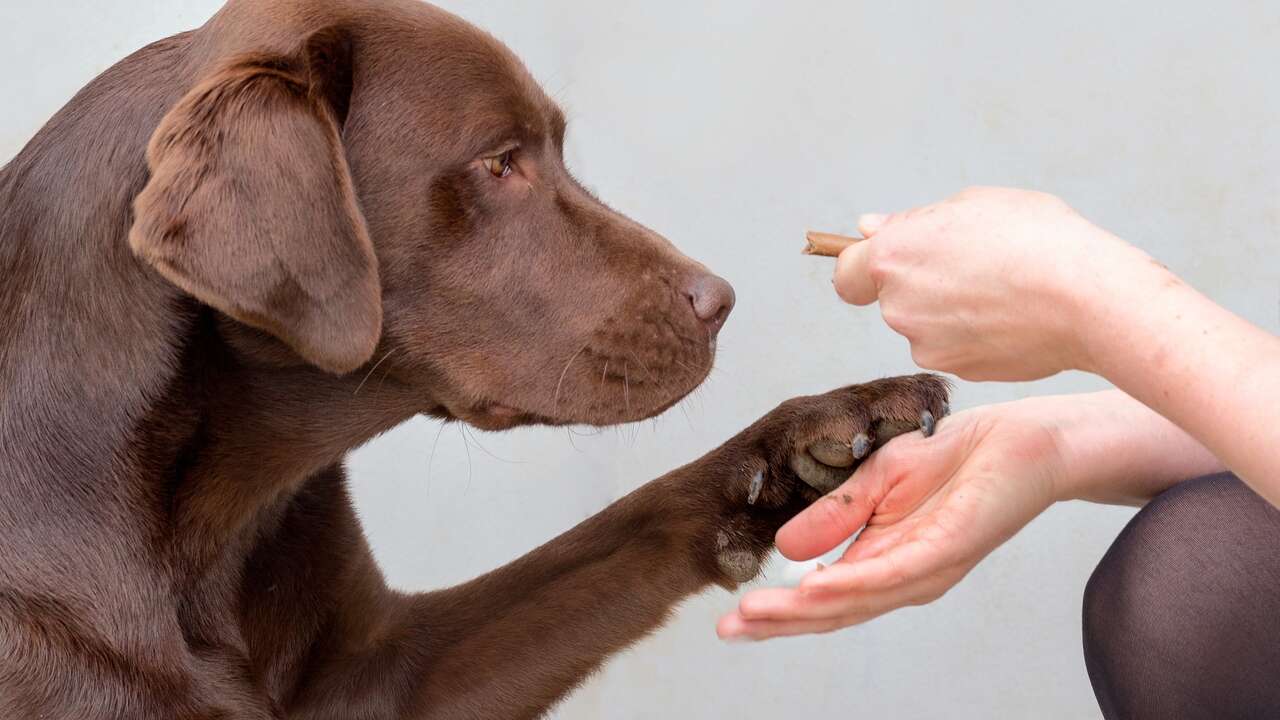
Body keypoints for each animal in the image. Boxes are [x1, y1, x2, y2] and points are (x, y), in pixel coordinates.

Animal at [0, 0, 952, 712]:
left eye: (556, 148)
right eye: (499, 163)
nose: (722, 301)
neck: (209, 520)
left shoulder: (392, 676)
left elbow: (623, 525)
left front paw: (810, 441)